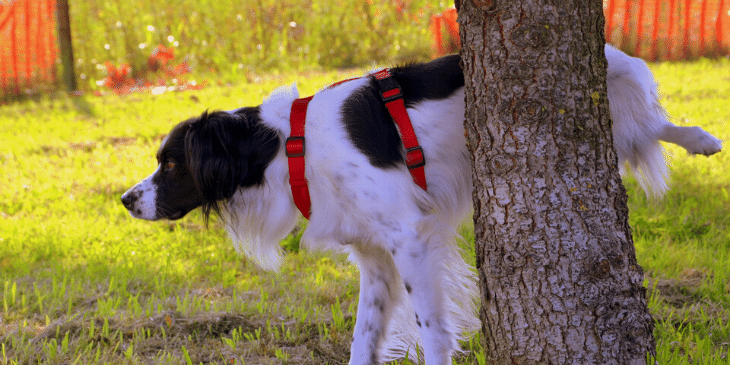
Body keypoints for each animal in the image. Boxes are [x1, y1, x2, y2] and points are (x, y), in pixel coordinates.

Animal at [122, 45, 720, 364]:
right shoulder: (375, 259)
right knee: (645, 126)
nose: (126, 200)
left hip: (615, 94)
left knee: (652, 119)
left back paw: (701, 138)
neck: (290, 147)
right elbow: (364, 340)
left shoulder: (410, 239)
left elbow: (432, 327)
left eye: (170, 165)